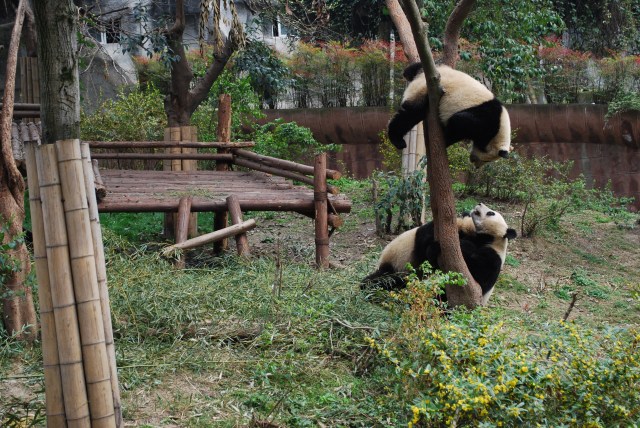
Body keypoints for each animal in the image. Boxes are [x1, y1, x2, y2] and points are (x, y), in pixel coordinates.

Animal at [362, 203, 516, 305]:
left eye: (491, 213)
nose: (479, 204)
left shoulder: (493, 256)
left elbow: (479, 272)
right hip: (395, 264)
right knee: (384, 279)